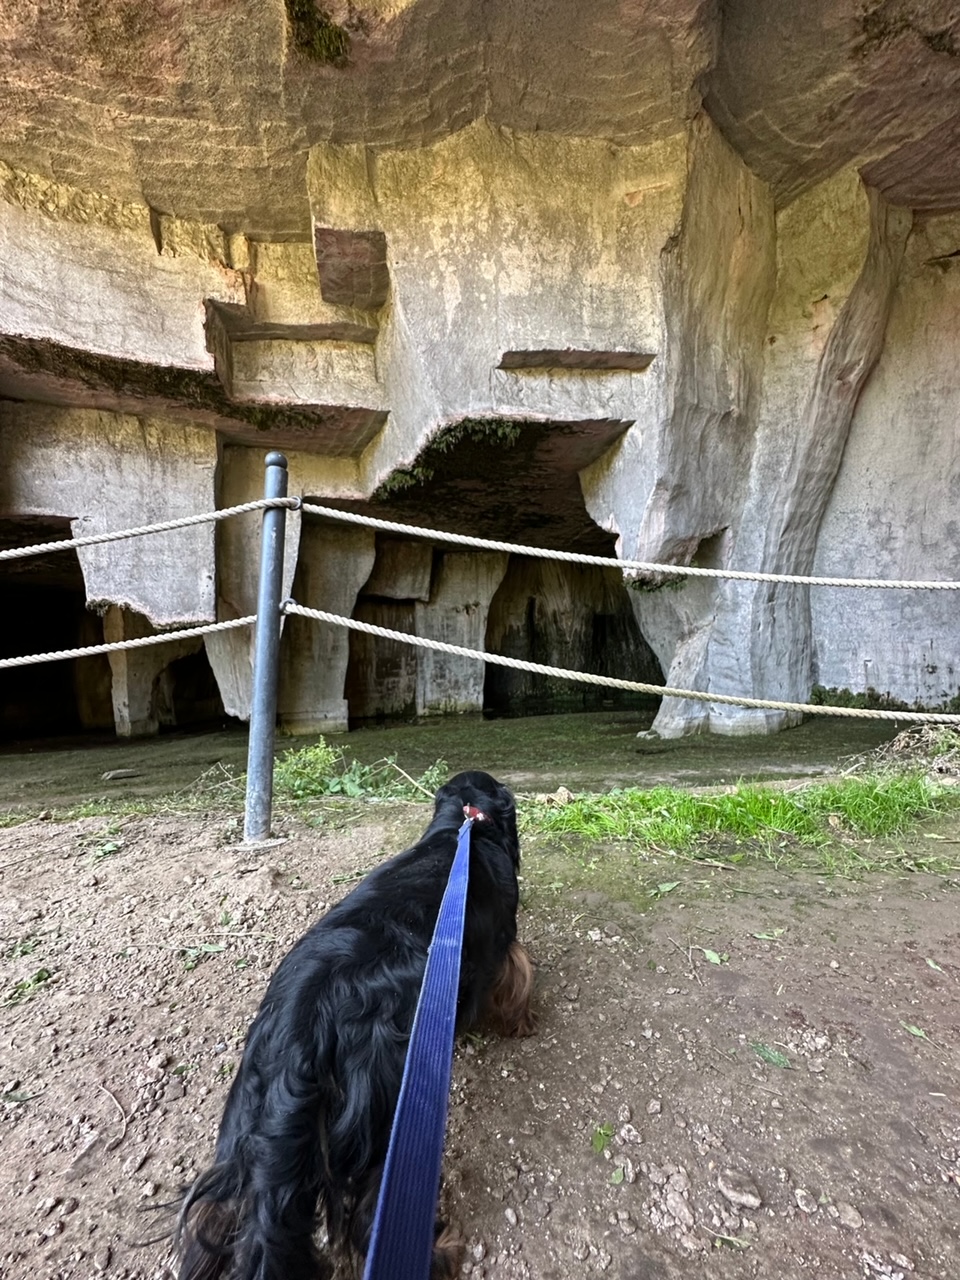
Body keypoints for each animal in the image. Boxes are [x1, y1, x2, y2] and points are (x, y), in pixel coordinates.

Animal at [177, 768, 537, 1280]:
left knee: (223, 1209)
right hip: (380, 1119)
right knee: (370, 1215)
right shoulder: (501, 943)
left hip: (249, 1111)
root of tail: (305, 1020)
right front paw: (521, 1022)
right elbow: (516, 978)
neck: (462, 827)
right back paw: (439, 1252)